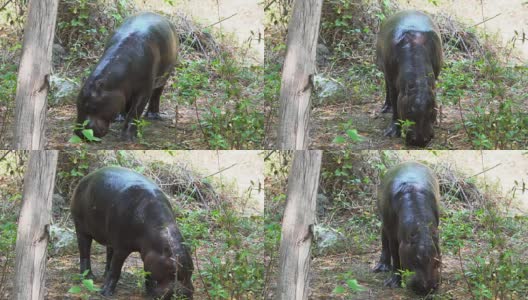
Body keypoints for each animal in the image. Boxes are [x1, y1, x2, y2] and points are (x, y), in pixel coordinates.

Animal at [70, 166, 193, 298]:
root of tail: (85, 178)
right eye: (173, 271)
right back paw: (88, 277)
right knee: (84, 252)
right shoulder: (122, 248)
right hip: (81, 228)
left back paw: (104, 276)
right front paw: (105, 293)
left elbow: (147, 274)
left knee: (109, 254)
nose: (185, 294)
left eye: (192, 269)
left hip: (110, 236)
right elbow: (115, 269)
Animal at [374, 162, 444, 296]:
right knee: (384, 240)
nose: (427, 288)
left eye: (437, 261)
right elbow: (396, 256)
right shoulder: (394, 237)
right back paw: (381, 267)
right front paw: (393, 283)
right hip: (384, 222)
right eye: (415, 261)